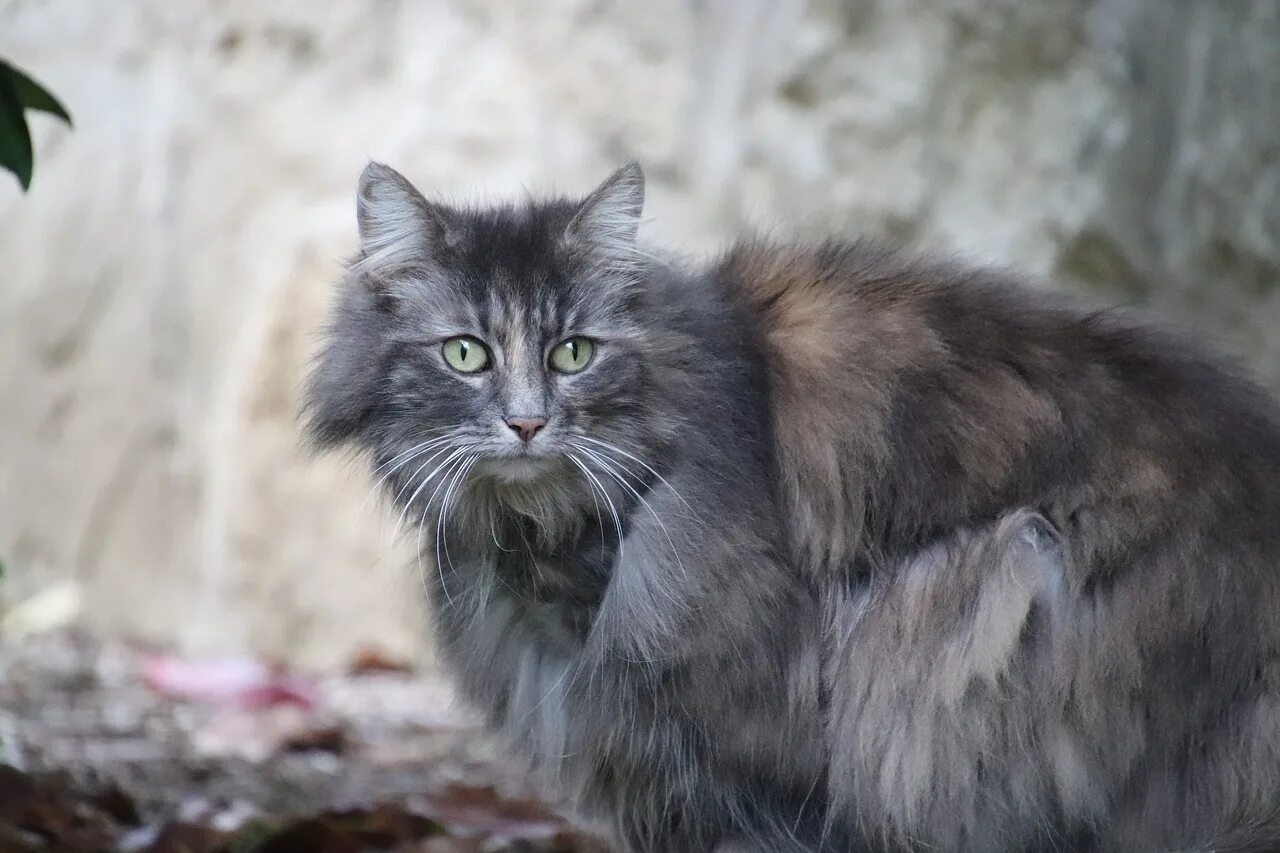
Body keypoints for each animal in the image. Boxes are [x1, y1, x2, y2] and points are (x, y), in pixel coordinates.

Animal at [304, 161, 1280, 850]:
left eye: (573, 351)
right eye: (465, 353)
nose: (527, 421)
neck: (554, 553)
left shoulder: (764, 762)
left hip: (984, 598)